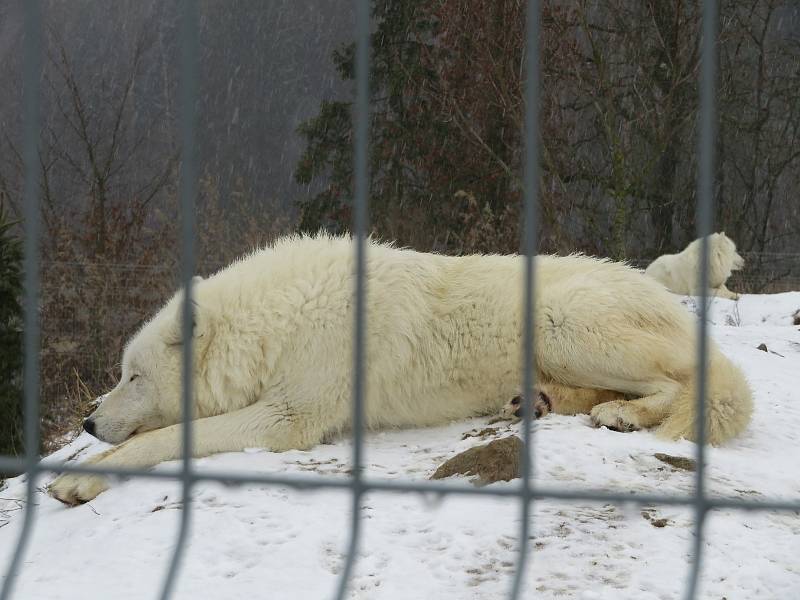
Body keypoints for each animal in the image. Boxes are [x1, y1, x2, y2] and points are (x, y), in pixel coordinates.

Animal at [48, 232, 752, 504]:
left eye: (133, 377)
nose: (86, 422)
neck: (278, 323)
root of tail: (665, 297)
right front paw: (83, 466)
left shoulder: (285, 419)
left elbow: (164, 439)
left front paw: (83, 479)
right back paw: (536, 402)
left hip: (563, 322)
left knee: (679, 384)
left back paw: (623, 416)